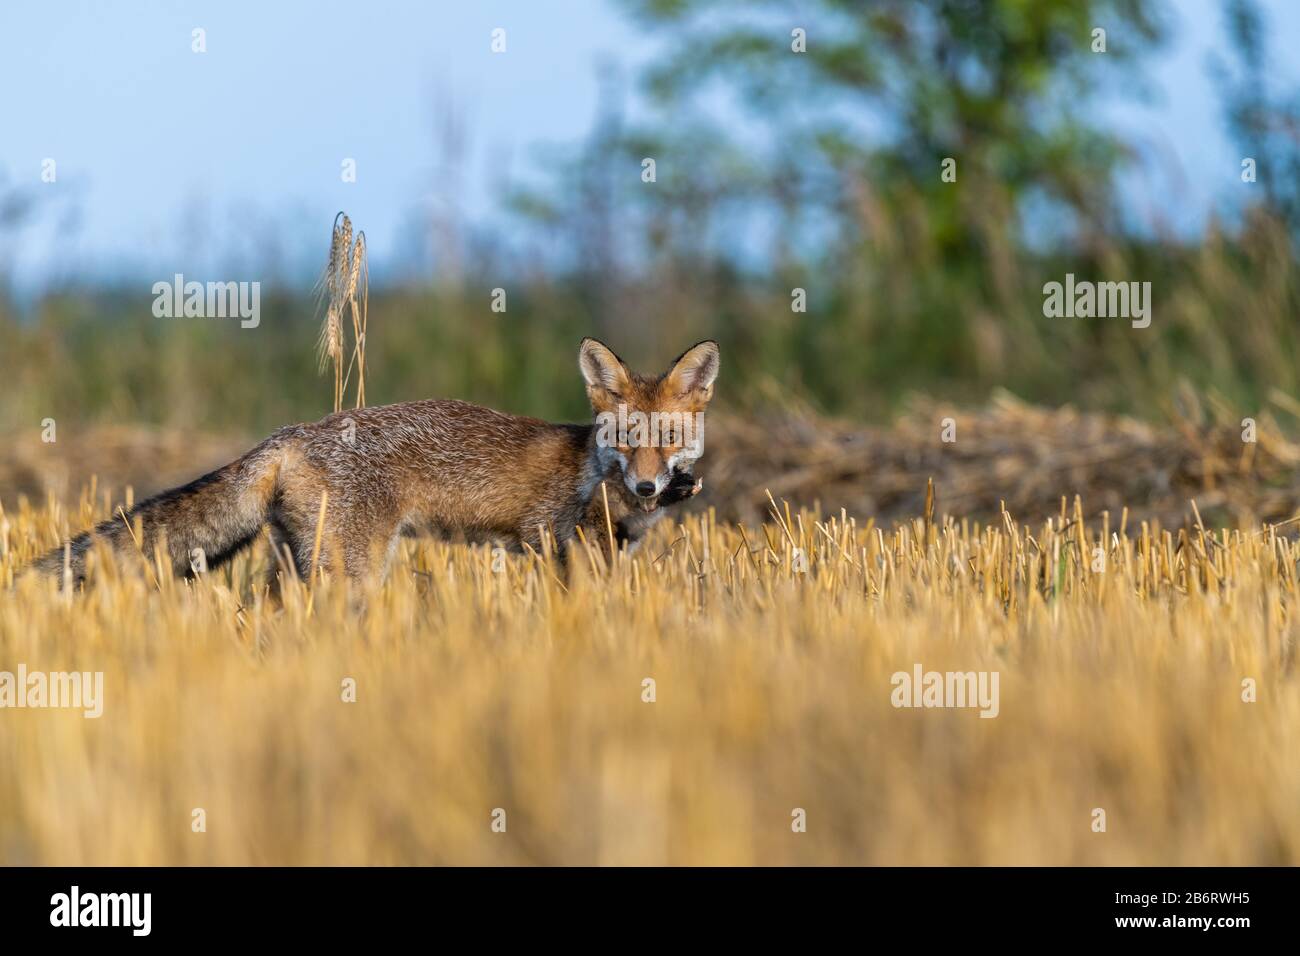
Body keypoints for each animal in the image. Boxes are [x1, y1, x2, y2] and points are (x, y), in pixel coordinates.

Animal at [27, 340, 722, 587]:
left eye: (667, 438)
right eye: (626, 438)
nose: (648, 484)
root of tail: (292, 432)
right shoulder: (561, 543)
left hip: (299, 562)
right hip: (353, 572)